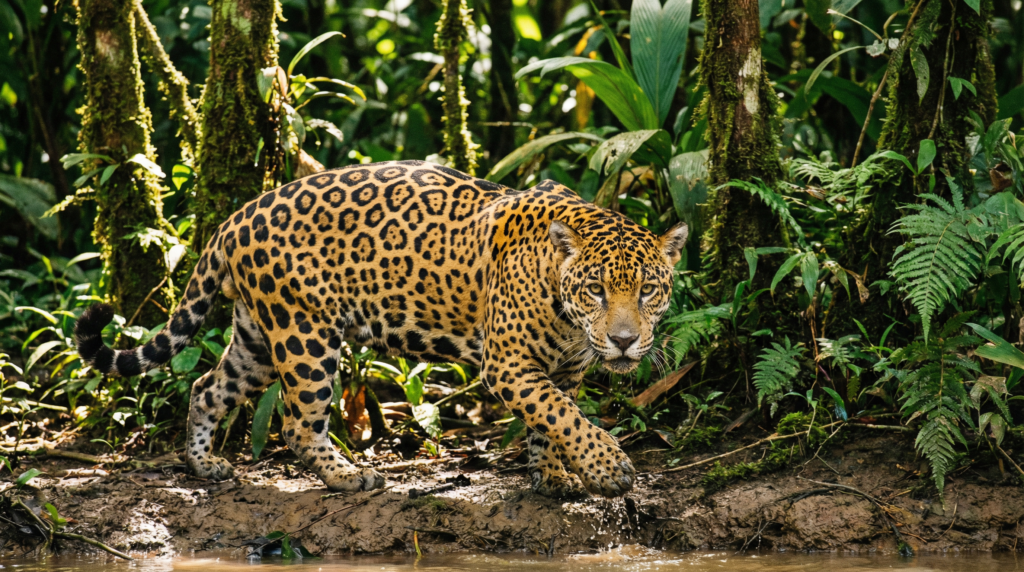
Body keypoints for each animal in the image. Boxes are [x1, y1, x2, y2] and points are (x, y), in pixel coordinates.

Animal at [75, 160, 688, 498]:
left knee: (207, 388)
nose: (624, 341)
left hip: (256, 339)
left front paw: (554, 476)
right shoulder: (510, 365)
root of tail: (235, 217)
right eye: (596, 290)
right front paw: (609, 468)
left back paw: (204, 465)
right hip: (305, 333)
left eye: (648, 291)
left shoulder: (565, 369)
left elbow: (553, 421)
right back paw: (349, 477)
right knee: (298, 424)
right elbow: (564, 417)